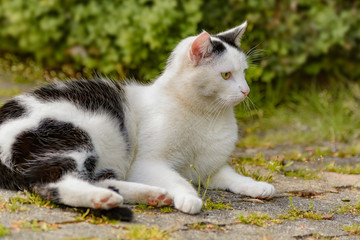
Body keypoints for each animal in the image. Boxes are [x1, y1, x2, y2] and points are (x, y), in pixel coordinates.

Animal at [0, 22, 276, 218]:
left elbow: (231, 176)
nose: (246, 90)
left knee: (97, 179)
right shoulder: (146, 163)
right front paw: (189, 197)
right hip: (75, 135)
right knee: (50, 181)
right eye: (226, 75)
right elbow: (177, 178)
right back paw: (103, 200)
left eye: (244, 73)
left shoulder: (207, 168)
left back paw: (152, 195)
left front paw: (257, 186)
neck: (204, 115)